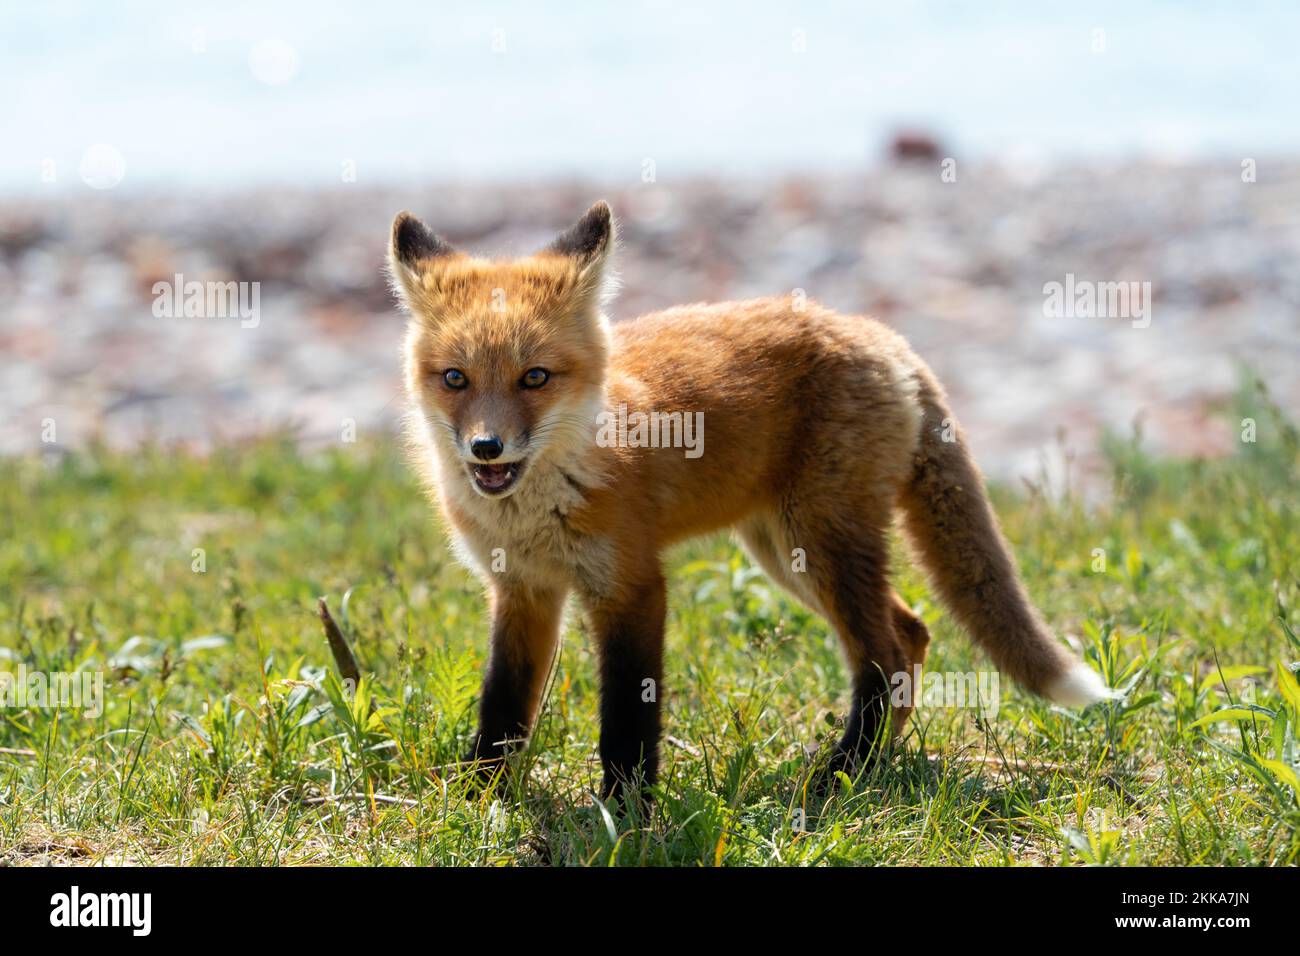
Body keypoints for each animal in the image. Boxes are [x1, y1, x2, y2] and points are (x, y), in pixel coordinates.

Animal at [388, 200, 1112, 802]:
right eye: (455, 378)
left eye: (534, 377)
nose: (486, 447)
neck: (538, 508)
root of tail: (878, 334)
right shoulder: (524, 590)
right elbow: (502, 706)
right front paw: (481, 798)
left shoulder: (632, 586)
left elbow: (627, 719)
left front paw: (625, 812)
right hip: (783, 553)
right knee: (911, 632)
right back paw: (873, 764)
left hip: (819, 545)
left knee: (884, 654)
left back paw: (843, 771)